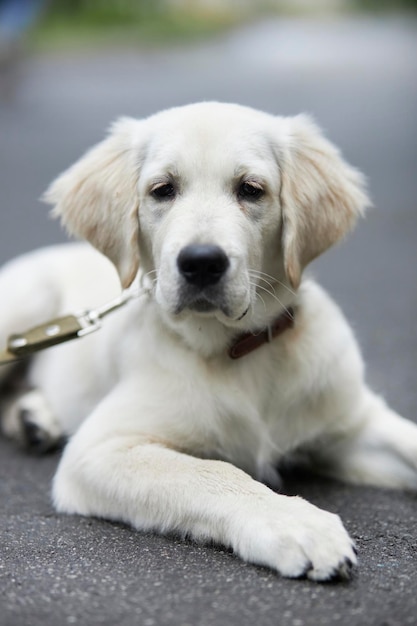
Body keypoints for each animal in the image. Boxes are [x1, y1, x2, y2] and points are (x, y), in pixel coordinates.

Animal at [0, 102, 416, 580]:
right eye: (162, 190)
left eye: (251, 189)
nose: (201, 263)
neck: (239, 348)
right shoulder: (101, 449)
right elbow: (215, 473)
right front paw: (297, 524)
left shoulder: (354, 424)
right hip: (25, 305)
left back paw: (33, 418)